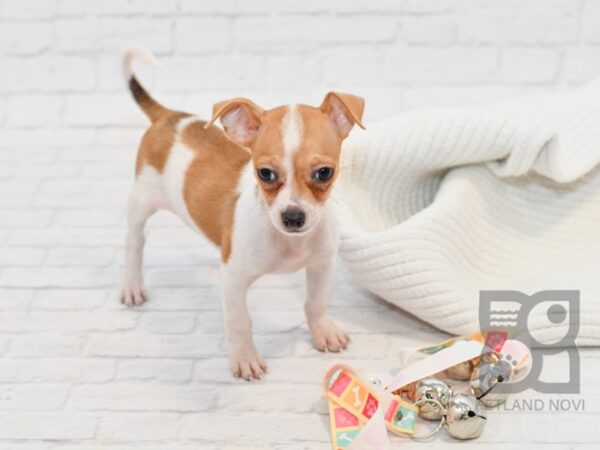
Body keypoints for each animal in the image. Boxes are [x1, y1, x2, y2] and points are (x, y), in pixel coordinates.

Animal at [120, 47, 366, 380]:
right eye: (265, 173)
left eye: (325, 172)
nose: (293, 217)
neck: (288, 242)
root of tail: (168, 116)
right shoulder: (235, 281)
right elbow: (240, 322)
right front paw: (245, 358)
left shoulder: (321, 265)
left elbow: (316, 303)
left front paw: (323, 332)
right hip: (141, 200)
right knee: (135, 242)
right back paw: (132, 285)